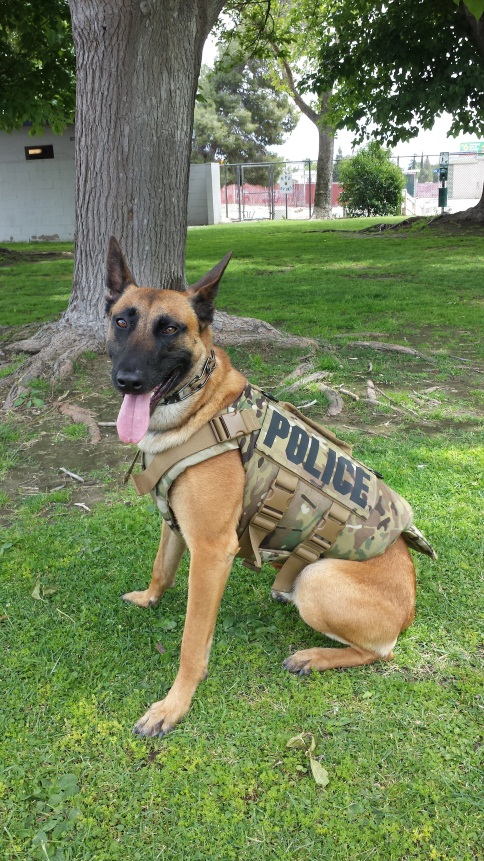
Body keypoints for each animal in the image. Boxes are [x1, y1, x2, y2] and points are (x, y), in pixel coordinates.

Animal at [106, 239, 416, 736]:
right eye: (122, 321)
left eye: (170, 328)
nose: (127, 381)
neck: (201, 408)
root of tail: (409, 611)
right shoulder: (176, 527)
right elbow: (162, 570)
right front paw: (148, 599)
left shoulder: (211, 551)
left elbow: (191, 640)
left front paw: (174, 704)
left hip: (318, 578)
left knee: (379, 653)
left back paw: (313, 656)